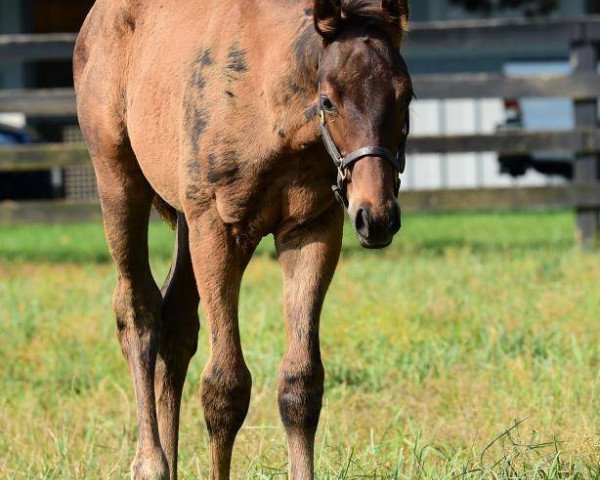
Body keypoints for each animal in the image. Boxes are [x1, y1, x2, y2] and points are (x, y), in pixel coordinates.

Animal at [74, 0, 412, 480]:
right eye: (328, 100)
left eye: (406, 97)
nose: (377, 217)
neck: (272, 107)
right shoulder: (218, 228)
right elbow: (225, 386)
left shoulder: (312, 228)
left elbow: (301, 384)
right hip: (119, 179)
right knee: (137, 311)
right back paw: (152, 463)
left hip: (186, 215)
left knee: (176, 321)